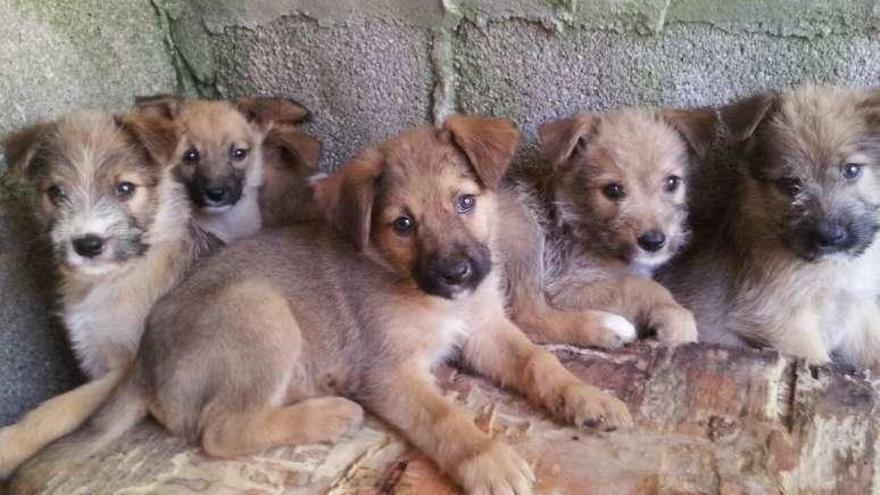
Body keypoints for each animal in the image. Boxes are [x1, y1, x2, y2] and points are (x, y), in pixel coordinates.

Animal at [496, 108, 716, 348]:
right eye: (613, 190)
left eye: (672, 182)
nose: (653, 242)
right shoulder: (564, 285)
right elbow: (638, 285)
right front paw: (677, 320)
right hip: (522, 231)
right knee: (525, 317)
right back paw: (608, 327)